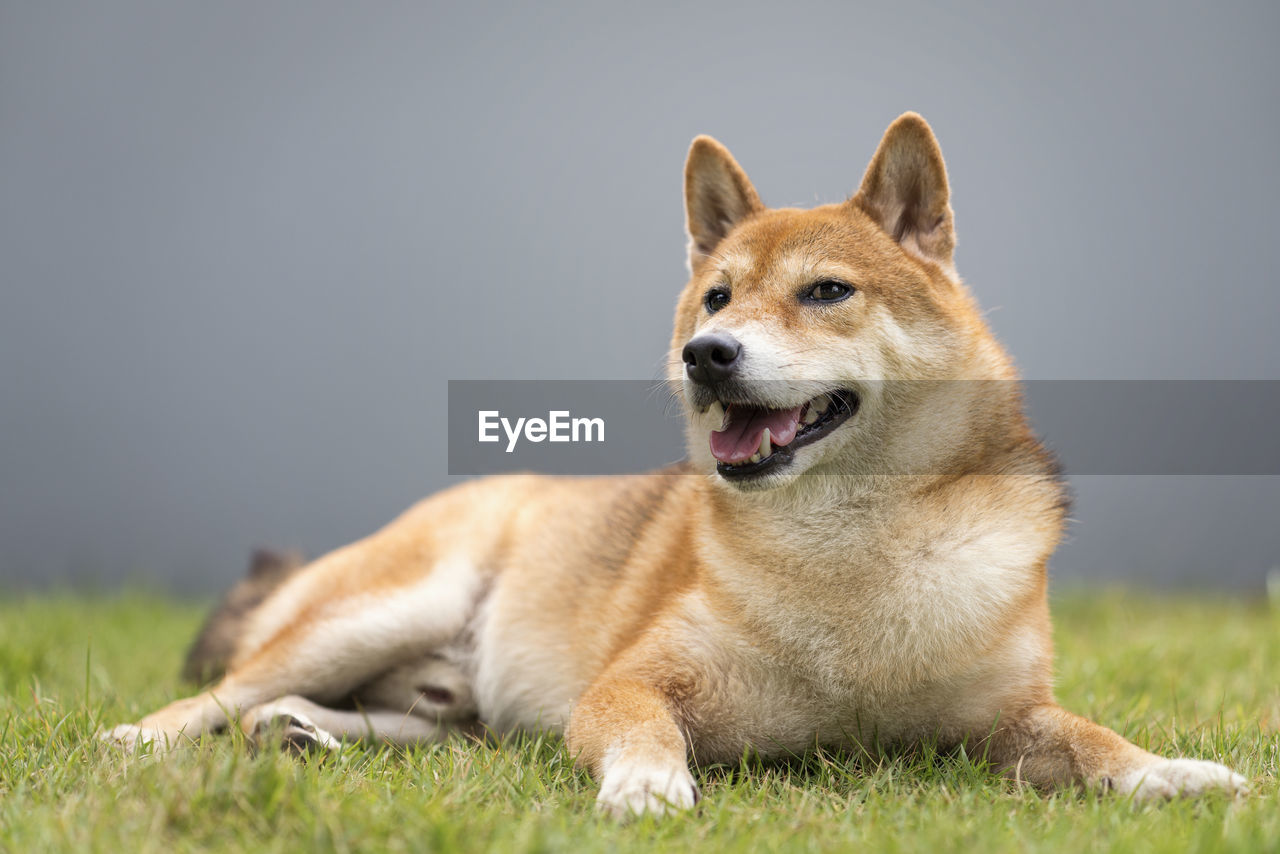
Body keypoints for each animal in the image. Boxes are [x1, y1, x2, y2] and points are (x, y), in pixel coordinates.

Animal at [102, 112, 1249, 814]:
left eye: (826, 291)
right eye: (716, 298)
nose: (708, 354)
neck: (851, 552)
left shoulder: (1007, 718)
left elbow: (1095, 741)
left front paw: (1172, 772)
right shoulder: (629, 683)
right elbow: (642, 727)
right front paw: (647, 788)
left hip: (443, 703)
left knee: (365, 717)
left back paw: (302, 736)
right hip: (379, 607)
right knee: (220, 695)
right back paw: (138, 741)